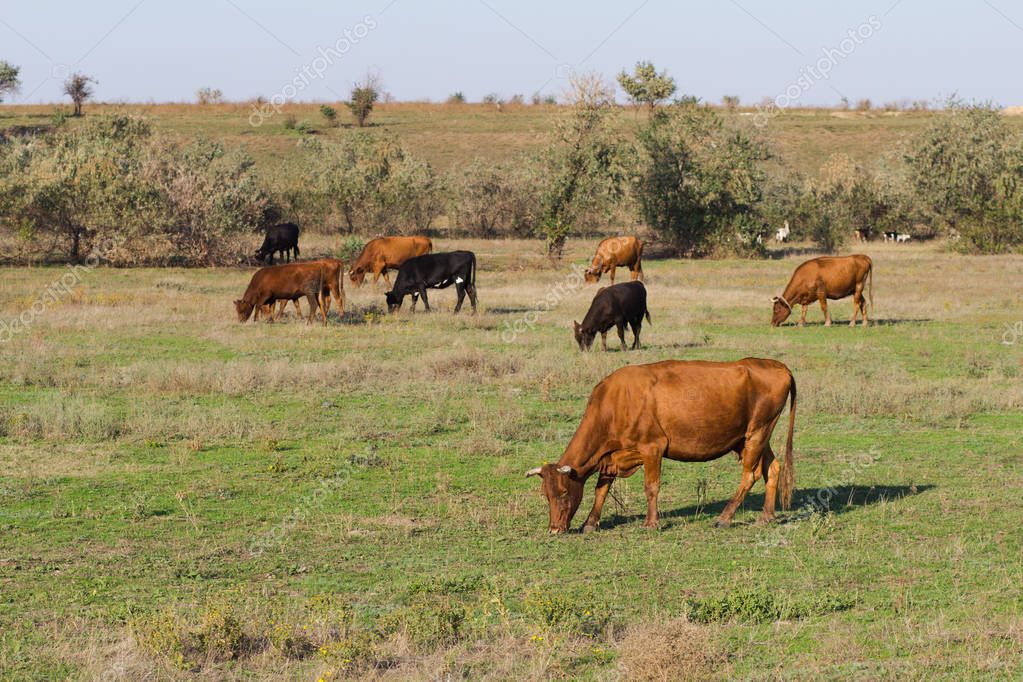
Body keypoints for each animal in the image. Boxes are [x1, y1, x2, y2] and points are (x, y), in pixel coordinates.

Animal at [523, 359, 793, 535]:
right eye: (546, 494)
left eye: (563, 492)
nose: (554, 529)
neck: (616, 401)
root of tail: (776, 365)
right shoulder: (610, 457)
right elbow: (602, 490)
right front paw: (590, 522)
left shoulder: (653, 448)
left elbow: (651, 487)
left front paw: (651, 523)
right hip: (756, 437)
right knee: (773, 469)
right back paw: (767, 516)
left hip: (756, 433)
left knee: (750, 474)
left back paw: (724, 518)